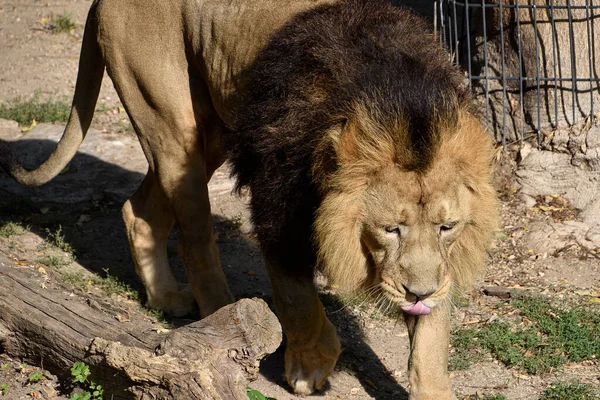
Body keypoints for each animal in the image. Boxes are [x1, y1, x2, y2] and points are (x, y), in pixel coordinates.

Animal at [0, 0, 496, 396]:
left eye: (448, 227)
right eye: (390, 229)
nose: (419, 292)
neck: (395, 98)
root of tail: (99, 1)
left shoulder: (439, 266)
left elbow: (430, 339)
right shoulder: (277, 203)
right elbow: (296, 297)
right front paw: (310, 364)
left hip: (212, 132)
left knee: (138, 212)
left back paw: (166, 297)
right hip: (171, 124)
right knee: (195, 238)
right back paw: (221, 318)